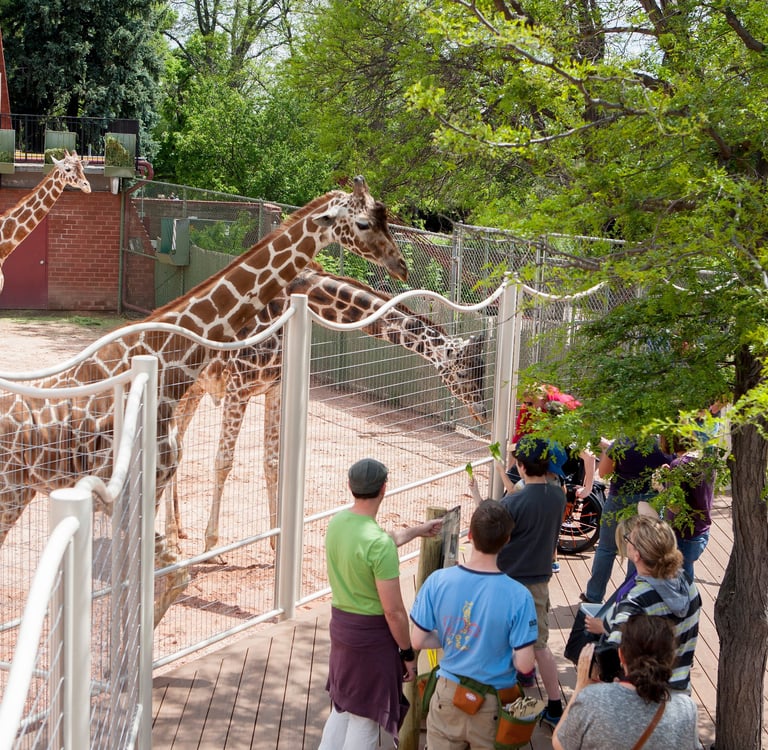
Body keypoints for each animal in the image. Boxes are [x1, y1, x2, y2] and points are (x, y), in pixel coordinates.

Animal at [168, 262, 487, 553]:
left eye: (482, 373)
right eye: (463, 373)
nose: (482, 414)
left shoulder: (274, 389)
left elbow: (272, 463)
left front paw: (275, 543)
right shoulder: (238, 386)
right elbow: (224, 460)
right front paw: (211, 546)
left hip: (196, 390)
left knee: (179, 446)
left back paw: (178, 531)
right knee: (175, 449)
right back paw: (173, 539)